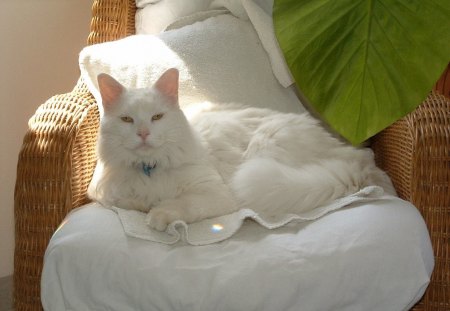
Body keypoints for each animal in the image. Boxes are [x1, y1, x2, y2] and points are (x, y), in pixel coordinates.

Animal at [87, 69, 390, 233]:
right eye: (127, 119)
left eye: (157, 117)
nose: (143, 133)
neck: (150, 168)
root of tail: (356, 162)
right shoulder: (106, 193)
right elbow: (127, 201)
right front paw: (148, 205)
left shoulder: (214, 192)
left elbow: (182, 204)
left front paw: (160, 214)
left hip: (266, 144)